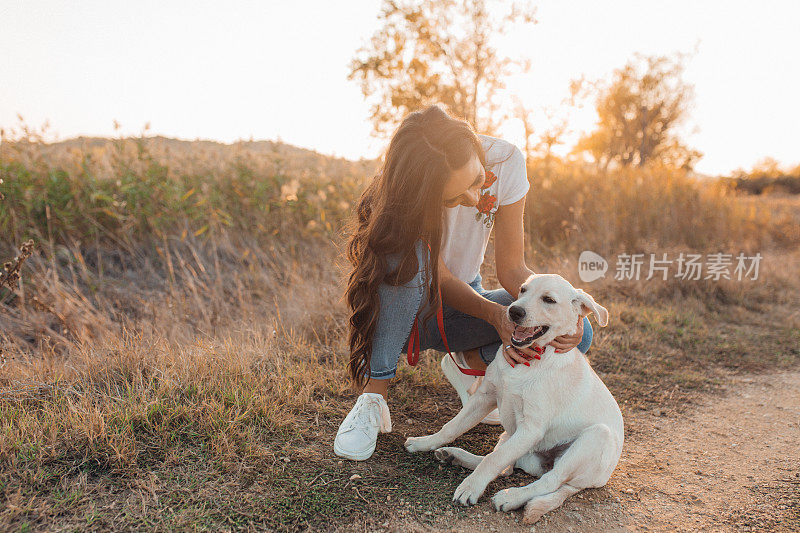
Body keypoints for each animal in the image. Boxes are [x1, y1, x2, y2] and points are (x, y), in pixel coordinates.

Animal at [406, 274, 624, 524]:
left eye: (549, 300)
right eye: (522, 290)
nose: (514, 311)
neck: (528, 361)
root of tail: (599, 480)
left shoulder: (530, 429)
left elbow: (494, 460)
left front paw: (471, 488)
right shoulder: (485, 396)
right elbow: (452, 428)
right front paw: (425, 442)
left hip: (596, 437)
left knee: (549, 480)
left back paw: (510, 497)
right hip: (510, 436)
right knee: (506, 465)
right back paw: (453, 456)